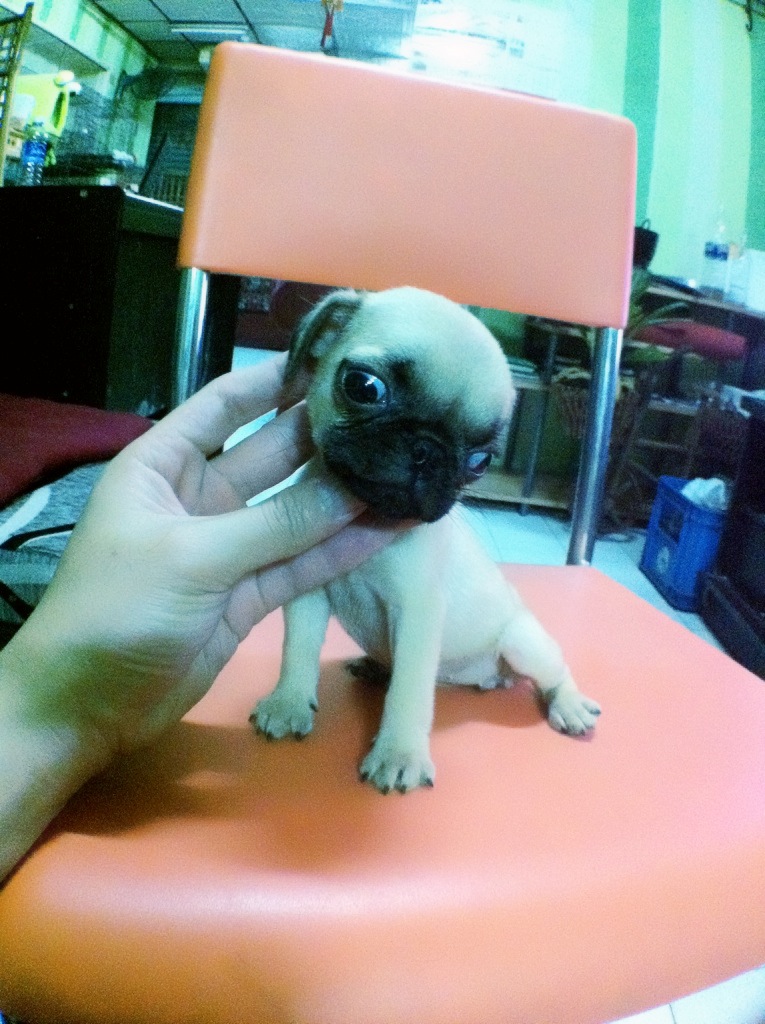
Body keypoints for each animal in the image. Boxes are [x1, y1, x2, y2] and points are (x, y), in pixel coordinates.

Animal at [252, 286, 600, 792]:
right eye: (364, 387)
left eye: (480, 460)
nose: (426, 450)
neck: (371, 519)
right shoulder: (308, 595)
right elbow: (297, 651)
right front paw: (288, 702)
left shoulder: (417, 615)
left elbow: (409, 693)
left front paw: (398, 754)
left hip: (523, 643)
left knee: (556, 670)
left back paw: (569, 704)